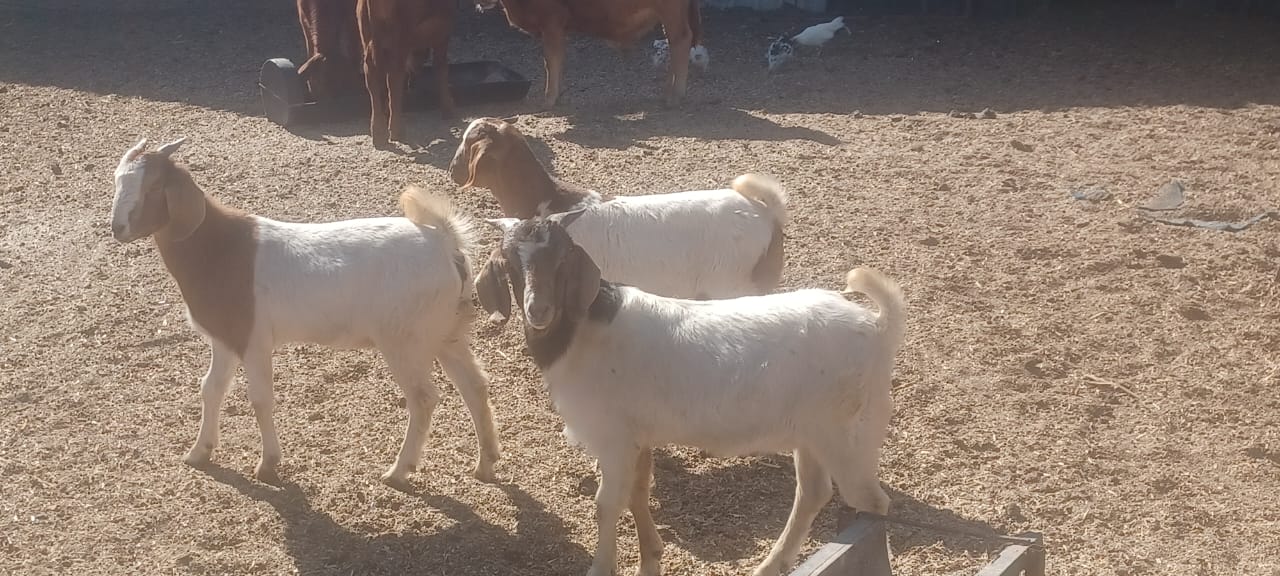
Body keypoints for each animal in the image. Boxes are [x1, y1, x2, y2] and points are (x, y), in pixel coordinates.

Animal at [109, 138, 501, 488]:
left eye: (154, 185)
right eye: (117, 180)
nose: (118, 228)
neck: (221, 248)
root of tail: (445, 242)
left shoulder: (254, 339)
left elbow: (260, 399)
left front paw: (268, 465)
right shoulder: (225, 339)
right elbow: (211, 389)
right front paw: (198, 452)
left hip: (405, 339)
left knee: (423, 399)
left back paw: (398, 471)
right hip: (447, 332)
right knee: (475, 386)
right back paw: (486, 464)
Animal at [357, 0, 456, 147]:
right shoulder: (443, 31)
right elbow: (441, 67)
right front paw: (448, 109)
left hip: (367, 37)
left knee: (373, 78)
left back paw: (379, 133)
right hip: (400, 39)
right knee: (394, 79)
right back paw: (396, 131)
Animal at [471, 0, 706, 108]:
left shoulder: (552, 22)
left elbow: (551, 60)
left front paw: (549, 99)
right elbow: (558, 60)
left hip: (671, 12)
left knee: (681, 40)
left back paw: (675, 96)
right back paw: (667, 93)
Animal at [475, 215, 905, 576]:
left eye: (563, 258)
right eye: (510, 261)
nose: (539, 309)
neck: (583, 331)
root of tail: (878, 327)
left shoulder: (614, 438)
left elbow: (606, 504)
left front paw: (601, 568)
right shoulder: (639, 437)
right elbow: (638, 494)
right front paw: (651, 559)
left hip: (845, 433)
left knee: (872, 502)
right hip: (812, 434)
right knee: (813, 493)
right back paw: (772, 564)